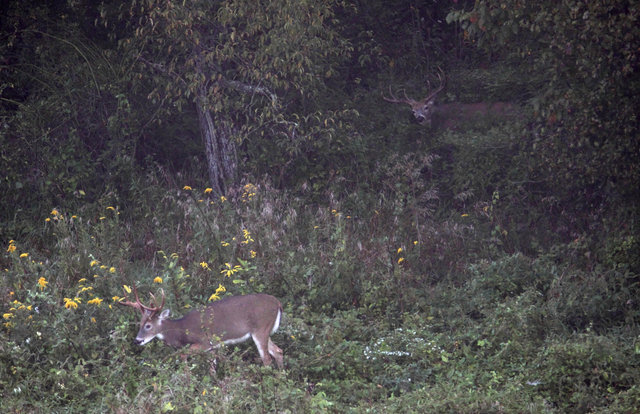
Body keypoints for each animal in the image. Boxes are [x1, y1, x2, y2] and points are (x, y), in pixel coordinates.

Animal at [119, 285, 284, 368]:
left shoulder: (205, 342)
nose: (137, 340)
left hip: (261, 328)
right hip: (264, 330)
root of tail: (277, 303)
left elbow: (182, 354)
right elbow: (212, 368)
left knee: (267, 358)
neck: (181, 330)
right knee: (278, 351)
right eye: (139, 324)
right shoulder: (212, 348)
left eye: (148, 325)